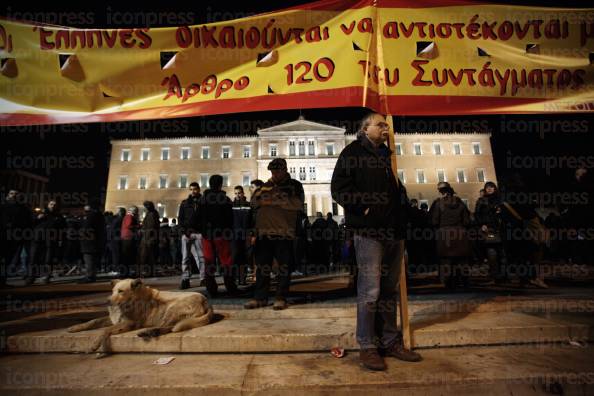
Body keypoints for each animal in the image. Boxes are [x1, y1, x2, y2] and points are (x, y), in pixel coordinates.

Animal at [67, 276, 213, 354]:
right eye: (113, 291)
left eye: (121, 291)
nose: (107, 301)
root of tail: (206, 301)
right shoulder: (114, 319)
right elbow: (94, 321)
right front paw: (75, 327)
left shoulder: (129, 322)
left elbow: (105, 330)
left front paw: (95, 344)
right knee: (170, 327)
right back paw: (150, 332)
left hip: (171, 308)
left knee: (169, 327)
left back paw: (148, 332)